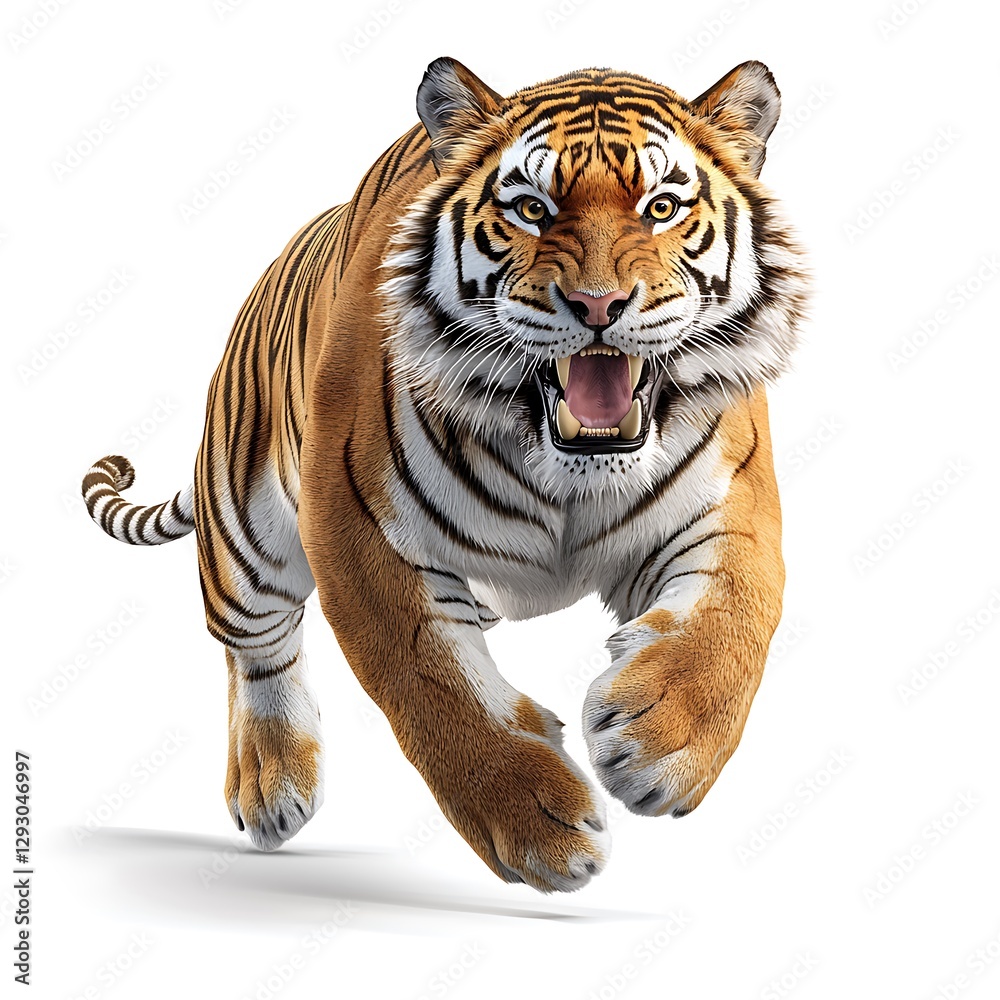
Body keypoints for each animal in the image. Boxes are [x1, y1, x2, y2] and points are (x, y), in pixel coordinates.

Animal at [82, 57, 808, 893]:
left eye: (661, 207)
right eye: (530, 209)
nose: (598, 305)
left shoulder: (729, 505)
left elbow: (736, 615)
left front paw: (662, 743)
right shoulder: (358, 529)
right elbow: (431, 682)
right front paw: (539, 826)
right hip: (244, 529)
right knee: (254, 644)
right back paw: (271, 786)